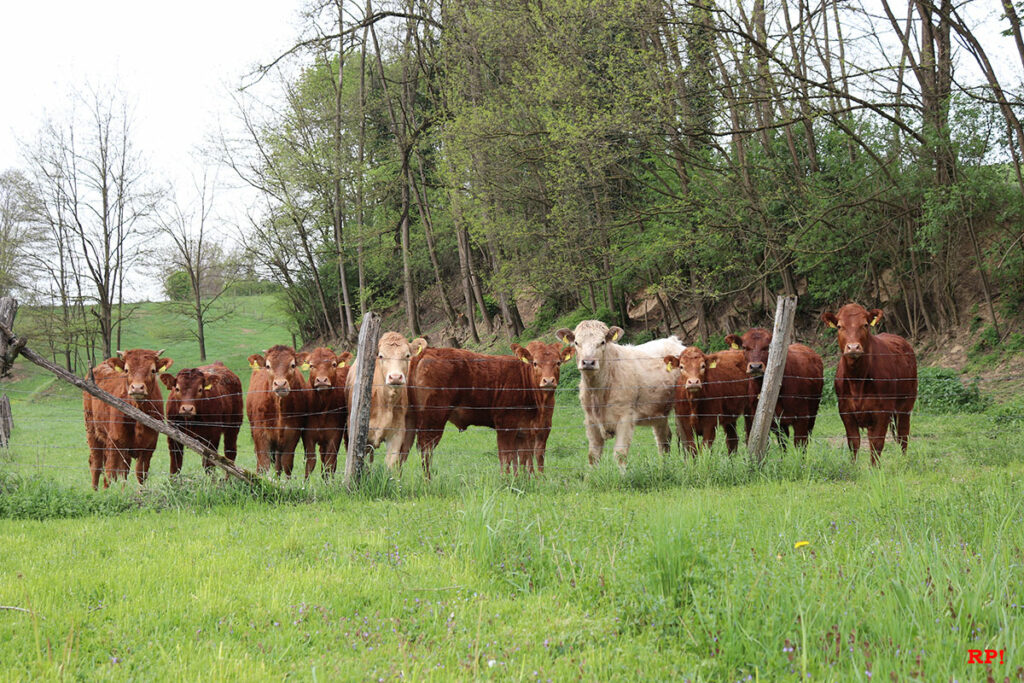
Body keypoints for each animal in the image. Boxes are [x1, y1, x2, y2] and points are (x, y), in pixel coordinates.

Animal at [82, 350, 173, 489]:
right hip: (92, 430)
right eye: (126, 370)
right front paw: (107, 492)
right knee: (96, 464)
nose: (137, 388)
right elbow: (110, 473)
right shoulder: (115, 443)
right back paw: (94, 490)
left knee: (123, 471)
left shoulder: (149, 446)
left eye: (153, 370)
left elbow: (140, 474)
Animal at [299, 350, 354, 479]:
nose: (321, 380)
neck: (322, 408)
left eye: (333, 364)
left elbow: (330, 463)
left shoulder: (335, 434)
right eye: (311, 365)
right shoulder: (307, 434)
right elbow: (311, 462)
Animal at [401, 339, 577, 475]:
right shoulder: (505, 424)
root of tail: (426, 352)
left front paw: (532, 480)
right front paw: (507, 481)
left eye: (558, 362)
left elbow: (529, 457)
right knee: (425, 449)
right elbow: (506, 457)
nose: (548, 381)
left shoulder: (536, 429)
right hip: (433, 418)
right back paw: (428, 481)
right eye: (535, 363)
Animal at [557, 321, 684, 471]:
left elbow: (620, 454)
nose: (588, 362)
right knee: (663, 438)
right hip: (659, 412)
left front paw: (622, 476)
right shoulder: (590, 421)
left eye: (602, 342)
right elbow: (593, 456)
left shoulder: (625, 418)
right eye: (576, 342)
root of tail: (672, 340)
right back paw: (663, 468)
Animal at [819, 305, 917, 464]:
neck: (857, 381)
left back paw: (903, 461)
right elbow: (854, 443)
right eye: (839, 326)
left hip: (906, 405)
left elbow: (877, 444)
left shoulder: (882, 411)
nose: (853, 347)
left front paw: (875, 468)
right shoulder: (845, 411)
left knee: (903, 435)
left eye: (865, 324)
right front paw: (854, 466)